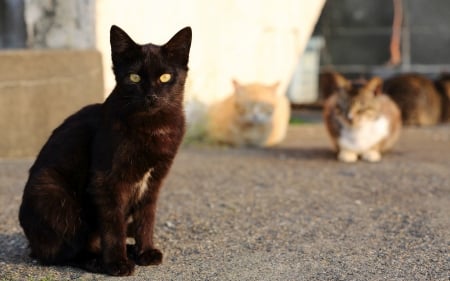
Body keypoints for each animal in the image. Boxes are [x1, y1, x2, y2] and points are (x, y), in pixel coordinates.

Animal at [18, 25, 192, 274]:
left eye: (165, 77)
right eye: (134, 77)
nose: (151, 96)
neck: (152, 127)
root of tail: (32, 243)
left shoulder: (154, 182)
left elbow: (146, 219)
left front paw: (145, 252)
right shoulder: (106, 181)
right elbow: (113, 226)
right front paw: (117, 263)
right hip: (52, 194)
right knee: (64, 252)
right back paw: (97, 260)